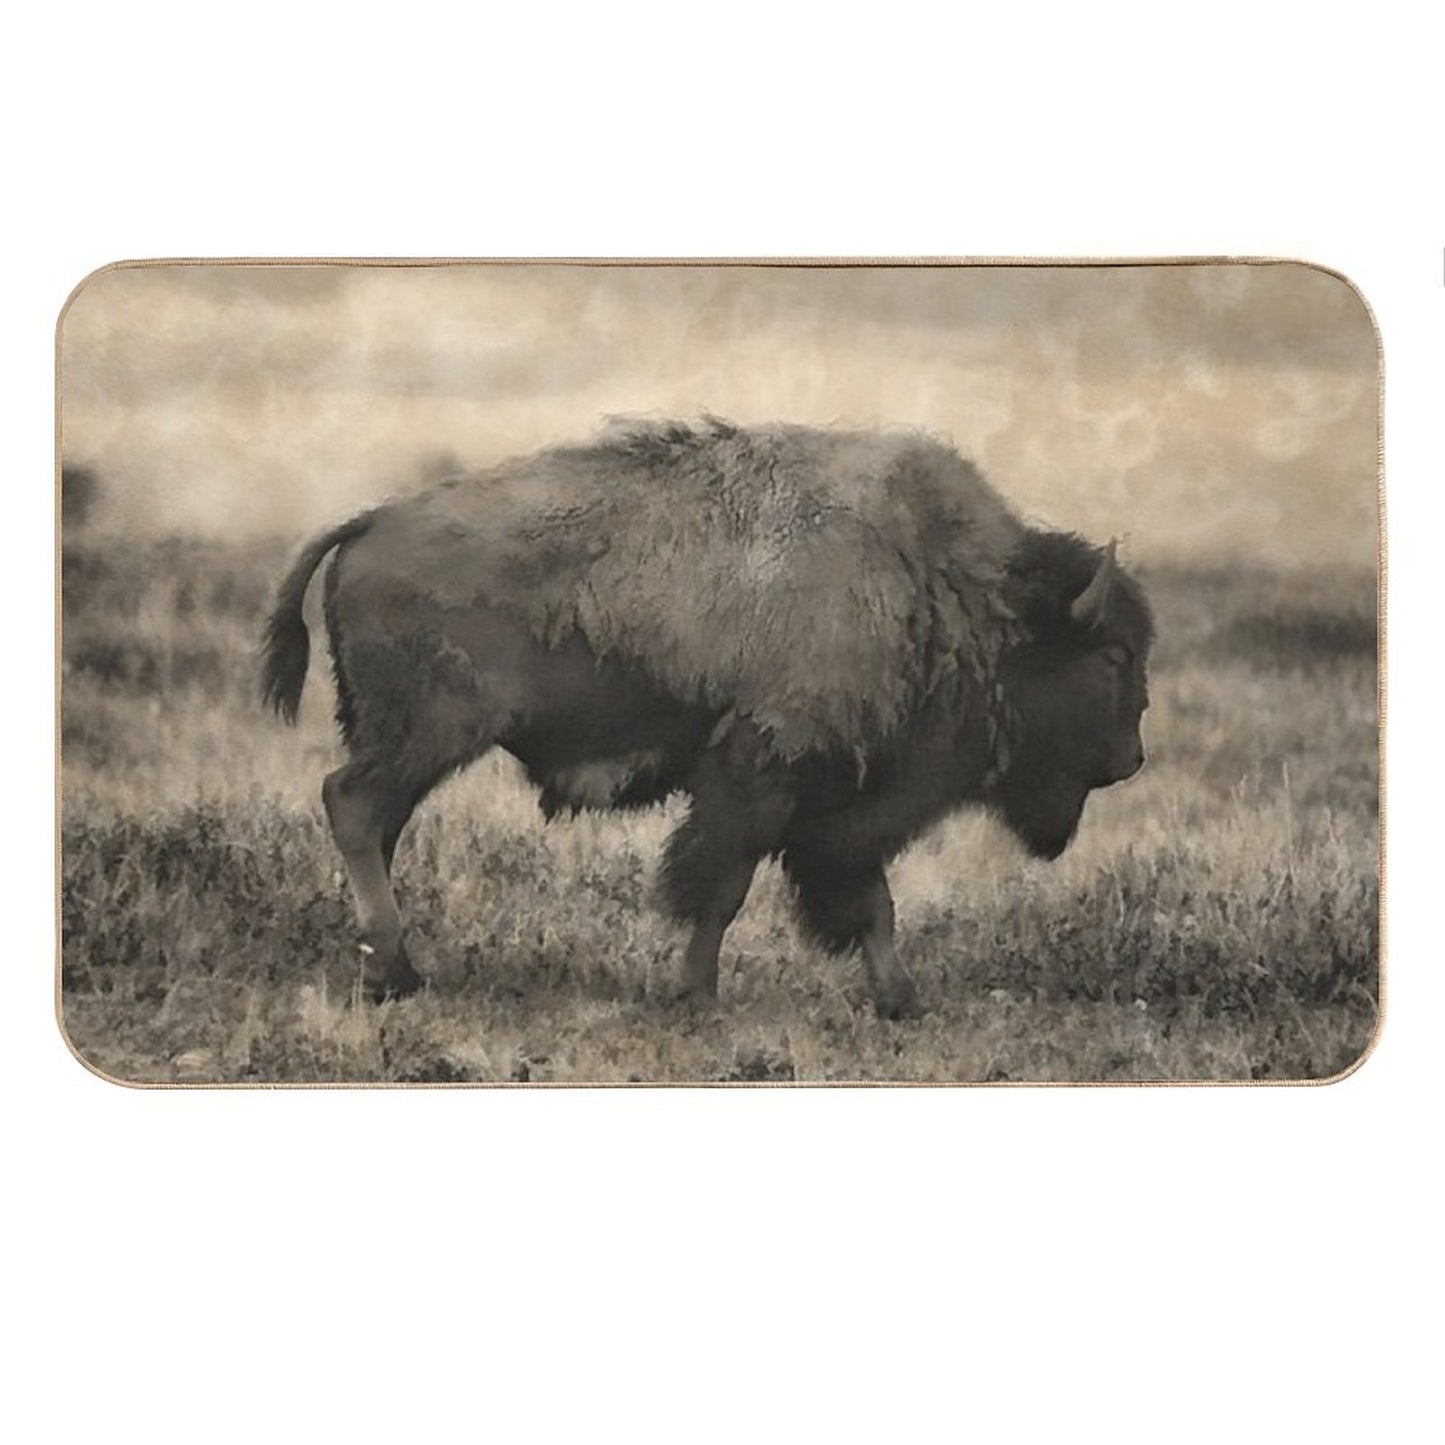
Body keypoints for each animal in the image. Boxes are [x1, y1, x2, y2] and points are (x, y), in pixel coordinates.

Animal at [263, 418, 1152, 1017]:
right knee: (352, 804)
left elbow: (869, 902)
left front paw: (901, 997)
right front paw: (695, 992)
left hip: (407, 742)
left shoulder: (834, 810)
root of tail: (373, 519)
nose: (1131, 758)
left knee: (376, 822)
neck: (945, 588)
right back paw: (393, 972)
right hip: (430, 734)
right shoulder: (760, 778)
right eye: (1110, 656)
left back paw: (389, 964)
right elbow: (721, 888)